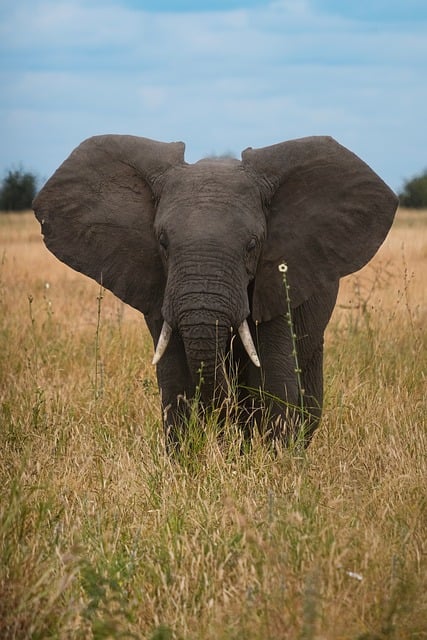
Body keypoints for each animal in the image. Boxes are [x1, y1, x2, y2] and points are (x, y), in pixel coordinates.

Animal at [33, 134, 398, 450]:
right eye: (162, 242)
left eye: (252, 245)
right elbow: (175, 379)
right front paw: (186, 466)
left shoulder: (280, 283)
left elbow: (272, 379)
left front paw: (277, 469)